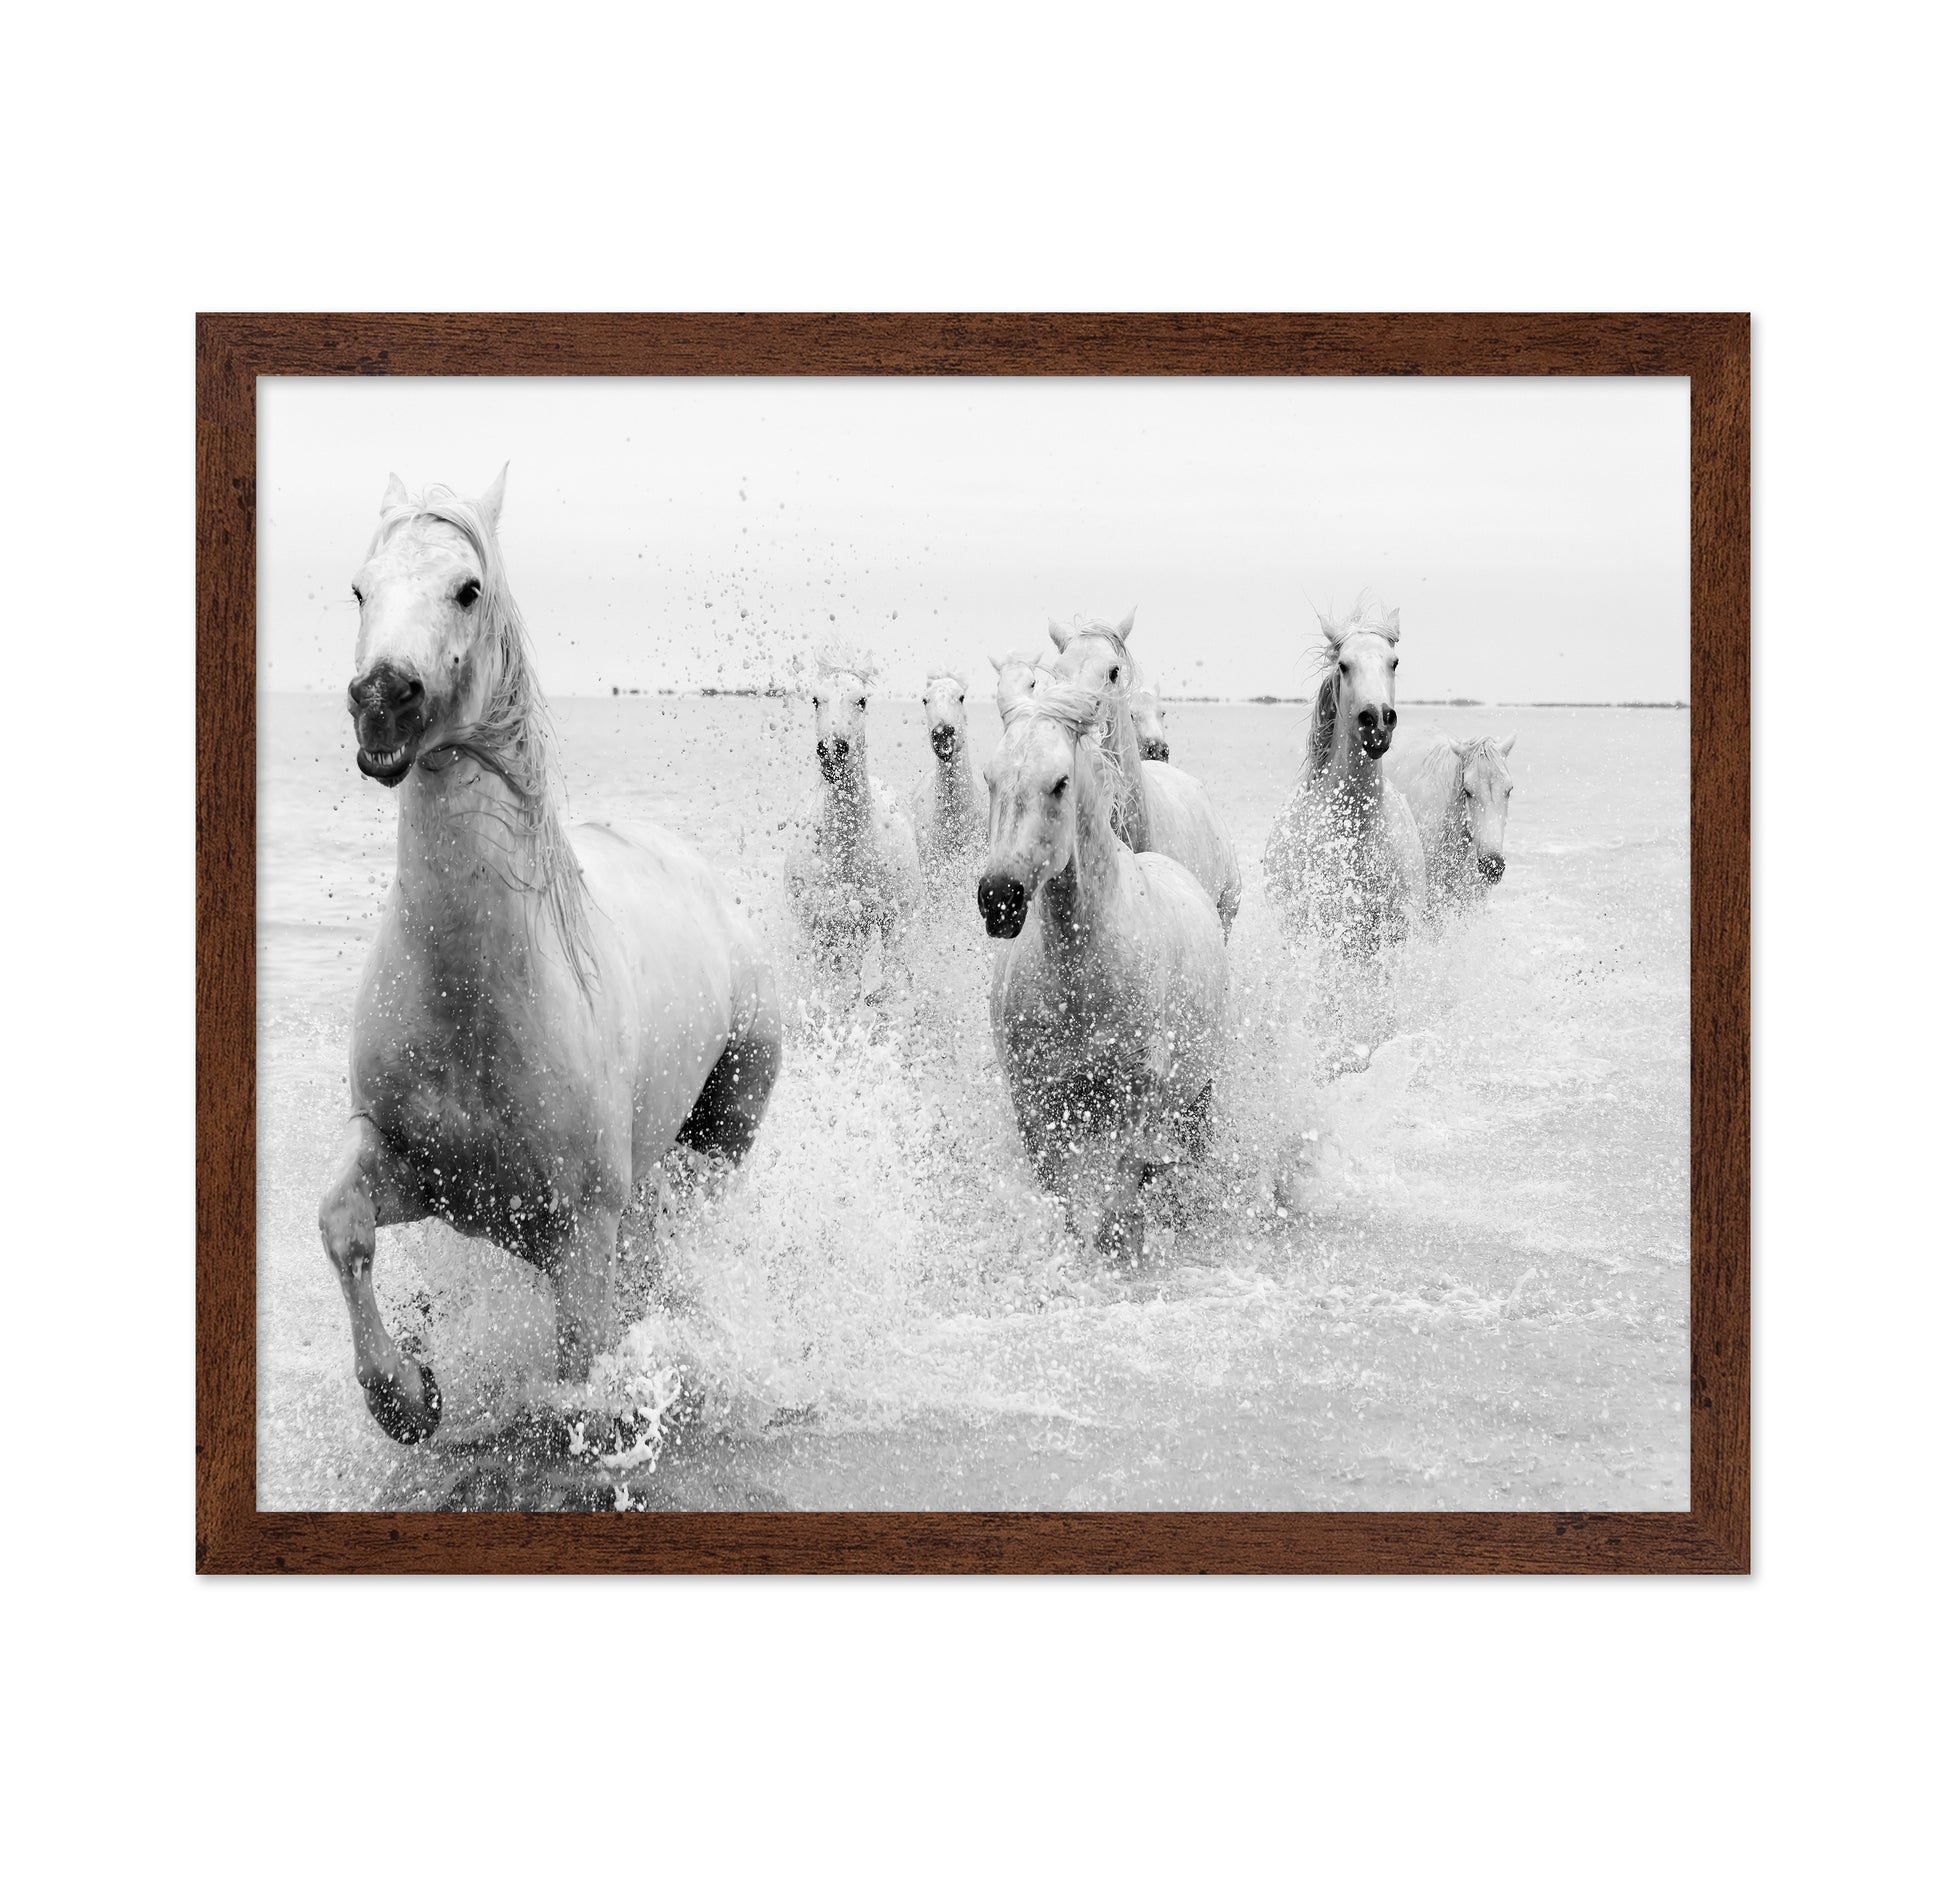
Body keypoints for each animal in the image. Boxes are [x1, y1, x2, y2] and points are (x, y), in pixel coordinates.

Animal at [319, 468, 783, 1445]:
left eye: (468, 588)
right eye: (360, 588)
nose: (381, 697)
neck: (476, 995)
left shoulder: (581, 1234)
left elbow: (582, 1370)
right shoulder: (413, 1165)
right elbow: (342, 1223)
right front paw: (406, 1393)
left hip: (721, 1137)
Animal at [978, 680, 1229, 1260]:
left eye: (1060, 782)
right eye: (990, 778)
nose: (999, 899)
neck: (1080, 978)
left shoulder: (1139, 1092)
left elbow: (1120, 1196)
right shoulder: (1036, 1102)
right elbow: (1065, 1204)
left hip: (1199, 1094)